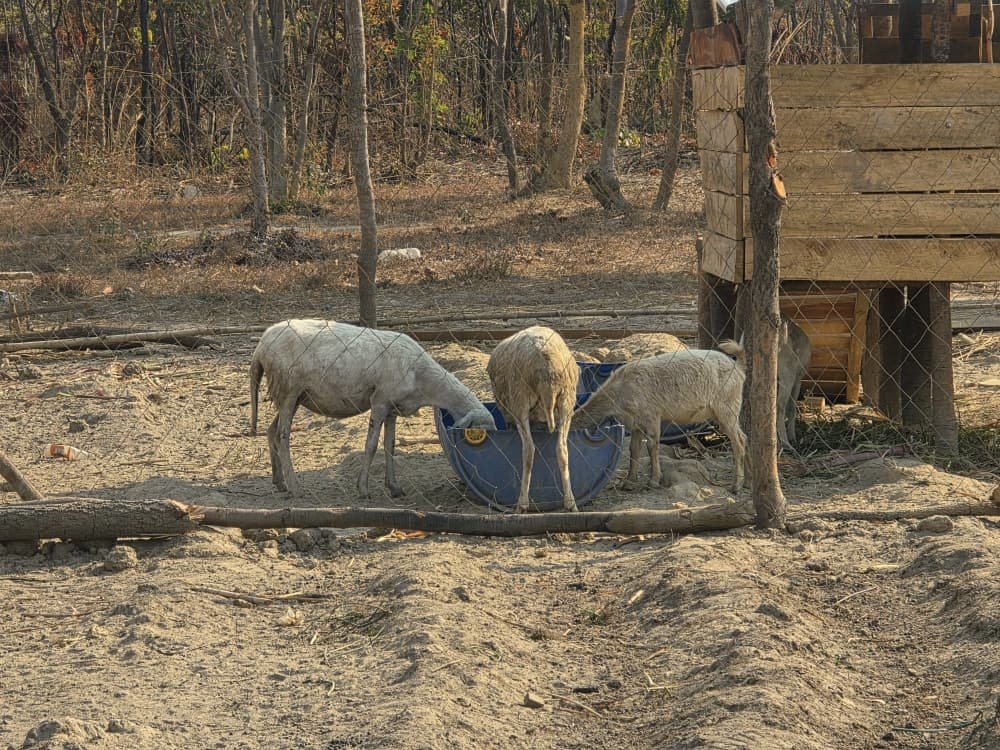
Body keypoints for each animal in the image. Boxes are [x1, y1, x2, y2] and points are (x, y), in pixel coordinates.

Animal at [249, 319, 496, 498]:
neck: (424, 379)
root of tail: (261, 345)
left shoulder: (393, 408)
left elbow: (390, 446)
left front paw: (394, 487)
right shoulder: (380, 402)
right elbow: (371, 445)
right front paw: (363, 489)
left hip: (293, 396)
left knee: (272, 432)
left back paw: (280, 482)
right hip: (288, 390)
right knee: (283, 437)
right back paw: (294, 486)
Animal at [487, 326, 580, 513]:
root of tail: (547, 368)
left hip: (519, 399)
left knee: (529, 449)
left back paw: (522, 505)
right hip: (567, 401)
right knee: (562, 449)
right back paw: (571, 503)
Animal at [571, 345, 747, 492]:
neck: (620, 391)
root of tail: (738, 369)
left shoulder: (651, 415)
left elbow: (652, 446)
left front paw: (654, 480)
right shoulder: (636, 423)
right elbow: (634, 449)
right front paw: (629, 481)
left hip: (727, 407)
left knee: (738, 441)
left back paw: (736, 485)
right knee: (743, 437)